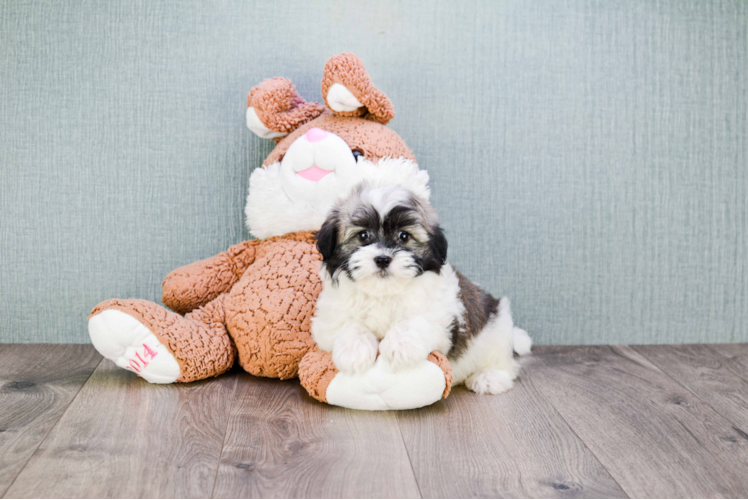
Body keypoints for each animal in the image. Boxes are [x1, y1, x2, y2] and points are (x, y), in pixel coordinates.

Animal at [312, 184, 532, 394]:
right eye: (363, 235)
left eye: (404, 236)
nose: (383, 258)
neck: (384, 292)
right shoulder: (327, 319)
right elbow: (348, 324)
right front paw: (354, 351)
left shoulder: (442, 315)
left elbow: (415, 320)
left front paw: (400, 346)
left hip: (497, 330)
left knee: (505, 363)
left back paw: (490, 377)